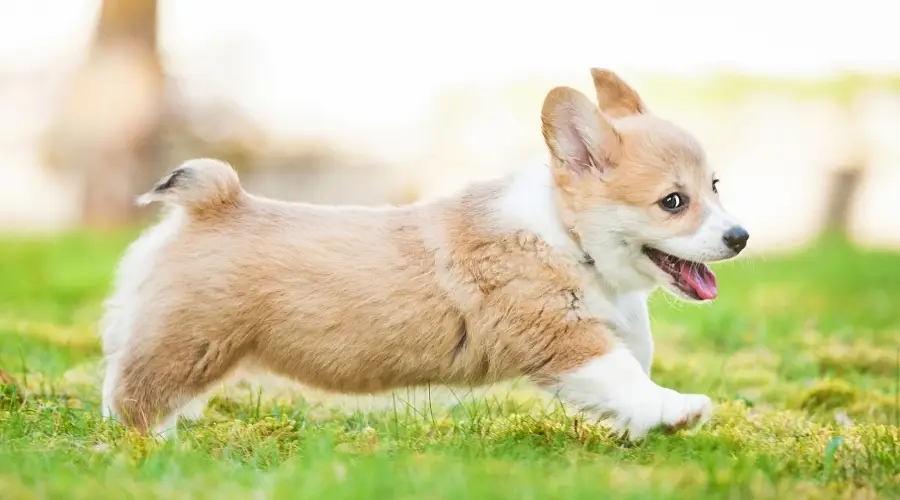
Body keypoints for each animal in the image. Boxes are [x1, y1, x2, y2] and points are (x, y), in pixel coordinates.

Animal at [98, 68, 748, 440]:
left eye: (716, 186)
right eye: (673, 201)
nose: (740, 237)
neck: (568, 237)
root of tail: (219, 200)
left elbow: (633, 361)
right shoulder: (562, 338)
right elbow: (622, 374)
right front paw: (674, 411)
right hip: (188, 341)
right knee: (131, 394)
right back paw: (140, 451)